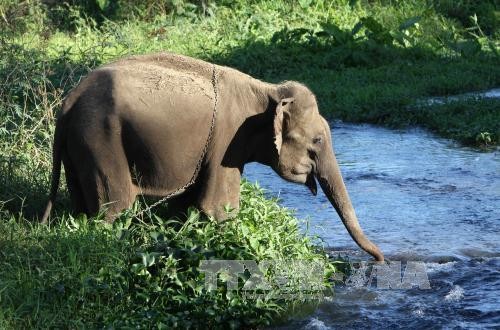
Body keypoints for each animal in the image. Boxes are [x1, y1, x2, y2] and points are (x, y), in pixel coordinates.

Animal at [41, 52, 384, 262]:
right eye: (317, 140)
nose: (380, 259)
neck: (267, 91)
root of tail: (68, 102)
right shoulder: (226, 141)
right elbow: (219, 209)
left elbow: (185, 207)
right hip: (101, 138)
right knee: (114, 207)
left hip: (80, 147)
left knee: (82, 205)